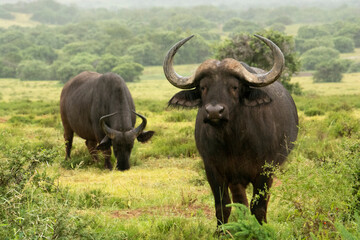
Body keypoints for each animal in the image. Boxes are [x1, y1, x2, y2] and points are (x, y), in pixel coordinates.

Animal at [163, 34, 298, 224]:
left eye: (234, 87)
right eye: (203, 87)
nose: (214, 111)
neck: (233, 142)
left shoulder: (265, 171)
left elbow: (259, 207)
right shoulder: (213, 170)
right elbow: (223, 207)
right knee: (241, 203)